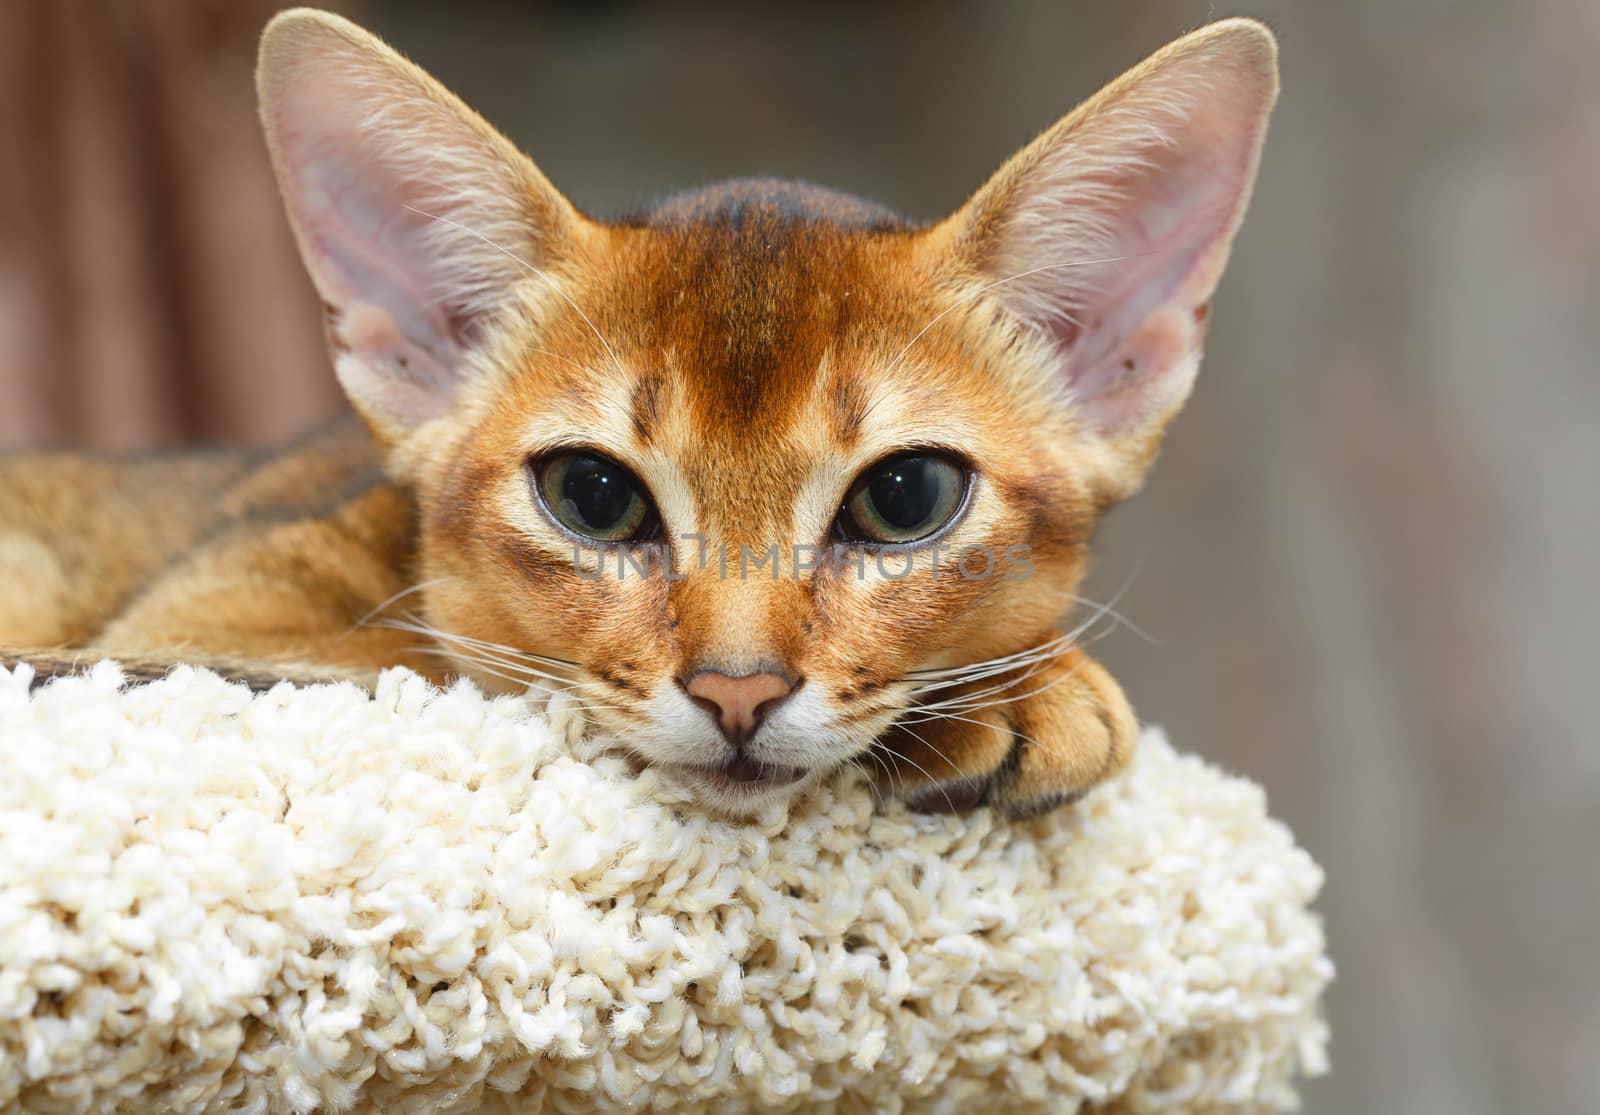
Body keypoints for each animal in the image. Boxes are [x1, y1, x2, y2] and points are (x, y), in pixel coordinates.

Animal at [0, 8, 1273, 819]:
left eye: (907, 497)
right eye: (592, 494)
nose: (737, 691)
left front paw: (1018, 684)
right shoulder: (205, 628)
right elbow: (432, 663)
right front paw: (1023, 693)